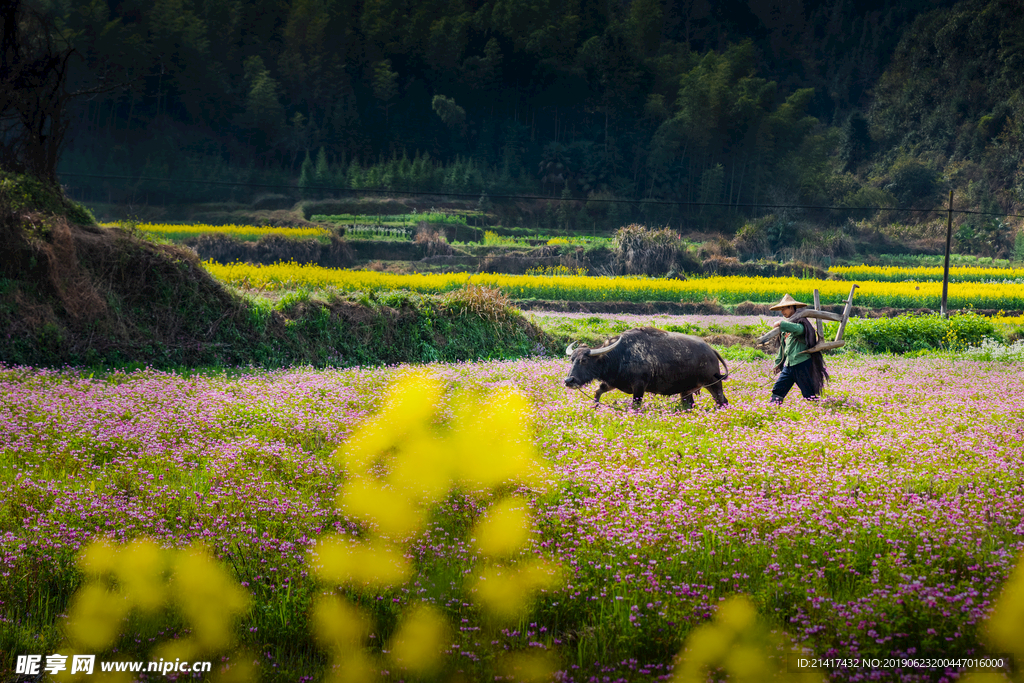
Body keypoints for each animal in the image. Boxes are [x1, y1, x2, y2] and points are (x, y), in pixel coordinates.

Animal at [565, 327, 733, 409]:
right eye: (572, 359)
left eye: (584, 360)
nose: (569, 380)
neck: (620, 355)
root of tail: (711, 350)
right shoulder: (613, 382)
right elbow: (597, 392)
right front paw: (595, 407)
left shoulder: (639, 386)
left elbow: (636, 405)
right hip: (686, 391)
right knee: (688, 404)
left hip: (713, 383)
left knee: (722, 401)